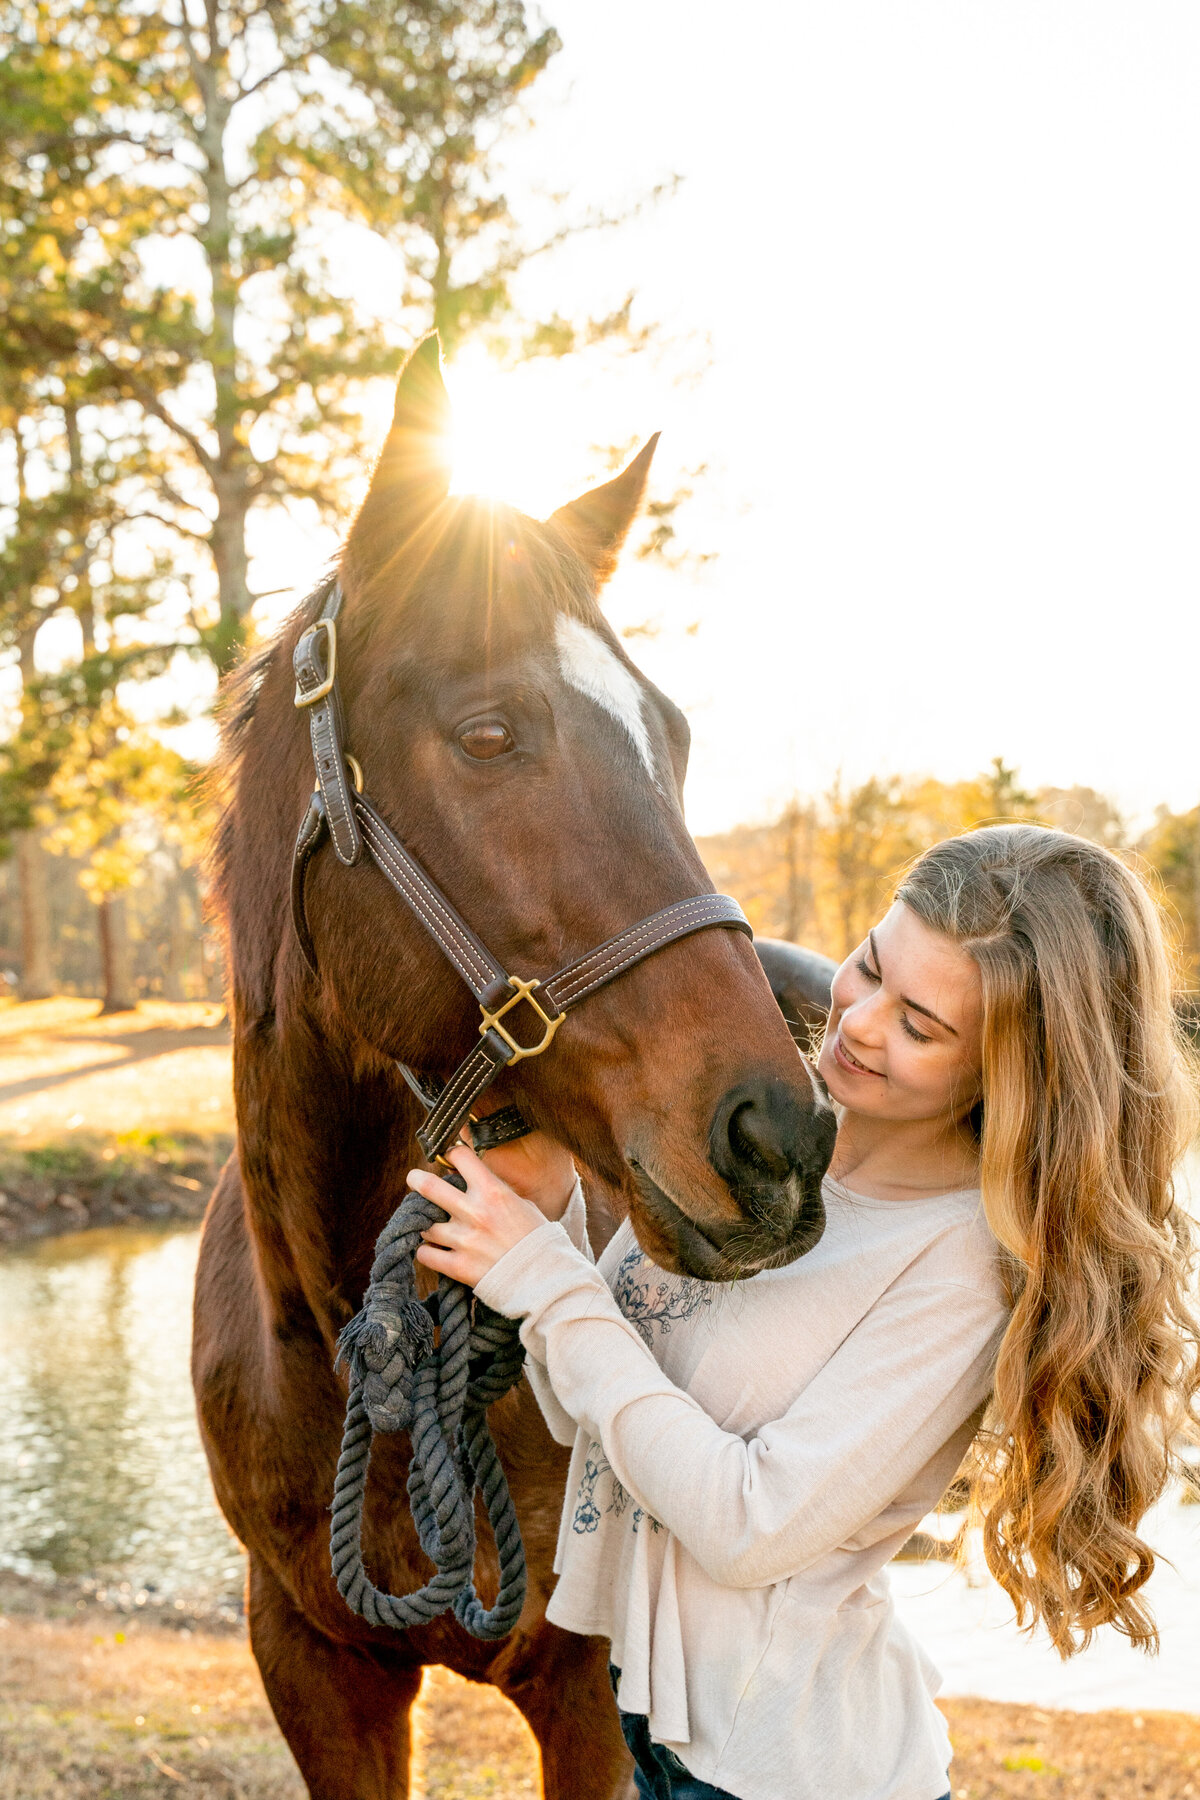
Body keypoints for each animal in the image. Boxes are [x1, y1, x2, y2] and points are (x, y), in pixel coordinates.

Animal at [195, 338, 834, 1800]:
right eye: (489, 733)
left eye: (674, 735)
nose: (779, 1134)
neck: (338, 1331)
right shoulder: (309, 1664)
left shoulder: (585, 1685)